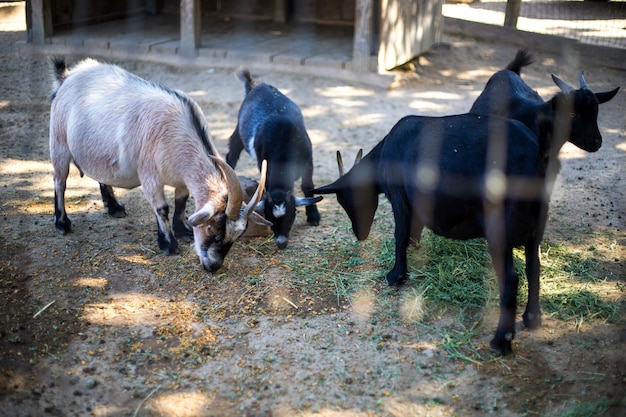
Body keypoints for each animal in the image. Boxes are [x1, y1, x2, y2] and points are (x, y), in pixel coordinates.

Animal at [50, 57, 270, 272]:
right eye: (213, 229)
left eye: (236, 237)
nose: (213, 266)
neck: (178, 131)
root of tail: (68, 76)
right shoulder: (149, 174)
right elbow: (162, 208)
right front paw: (169, 244)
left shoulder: (182, 178)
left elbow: (181, 202)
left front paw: (182, 231)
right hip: (59, 141)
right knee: (59, 180)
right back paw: (62, 223)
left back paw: (114, 207)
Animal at [225, 68, 322, 249]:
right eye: (269, 215)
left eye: (292, 214)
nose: (281, 243)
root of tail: (255, 85)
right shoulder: (263, 163)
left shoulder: (308, 162)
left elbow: (308, 185)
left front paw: (313, 216)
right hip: (240, 129)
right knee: (232, 154)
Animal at [310, 112, 556, 352]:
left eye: (345, 199)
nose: (359, 234)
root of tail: (534, 155)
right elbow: (413, 233)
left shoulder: (400, 199)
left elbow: (400, 236)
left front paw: (396, 275)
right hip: (537, 223)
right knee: (533, 266)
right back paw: (532, 318)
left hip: (500, 228)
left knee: (511, 279)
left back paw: (501, 341)